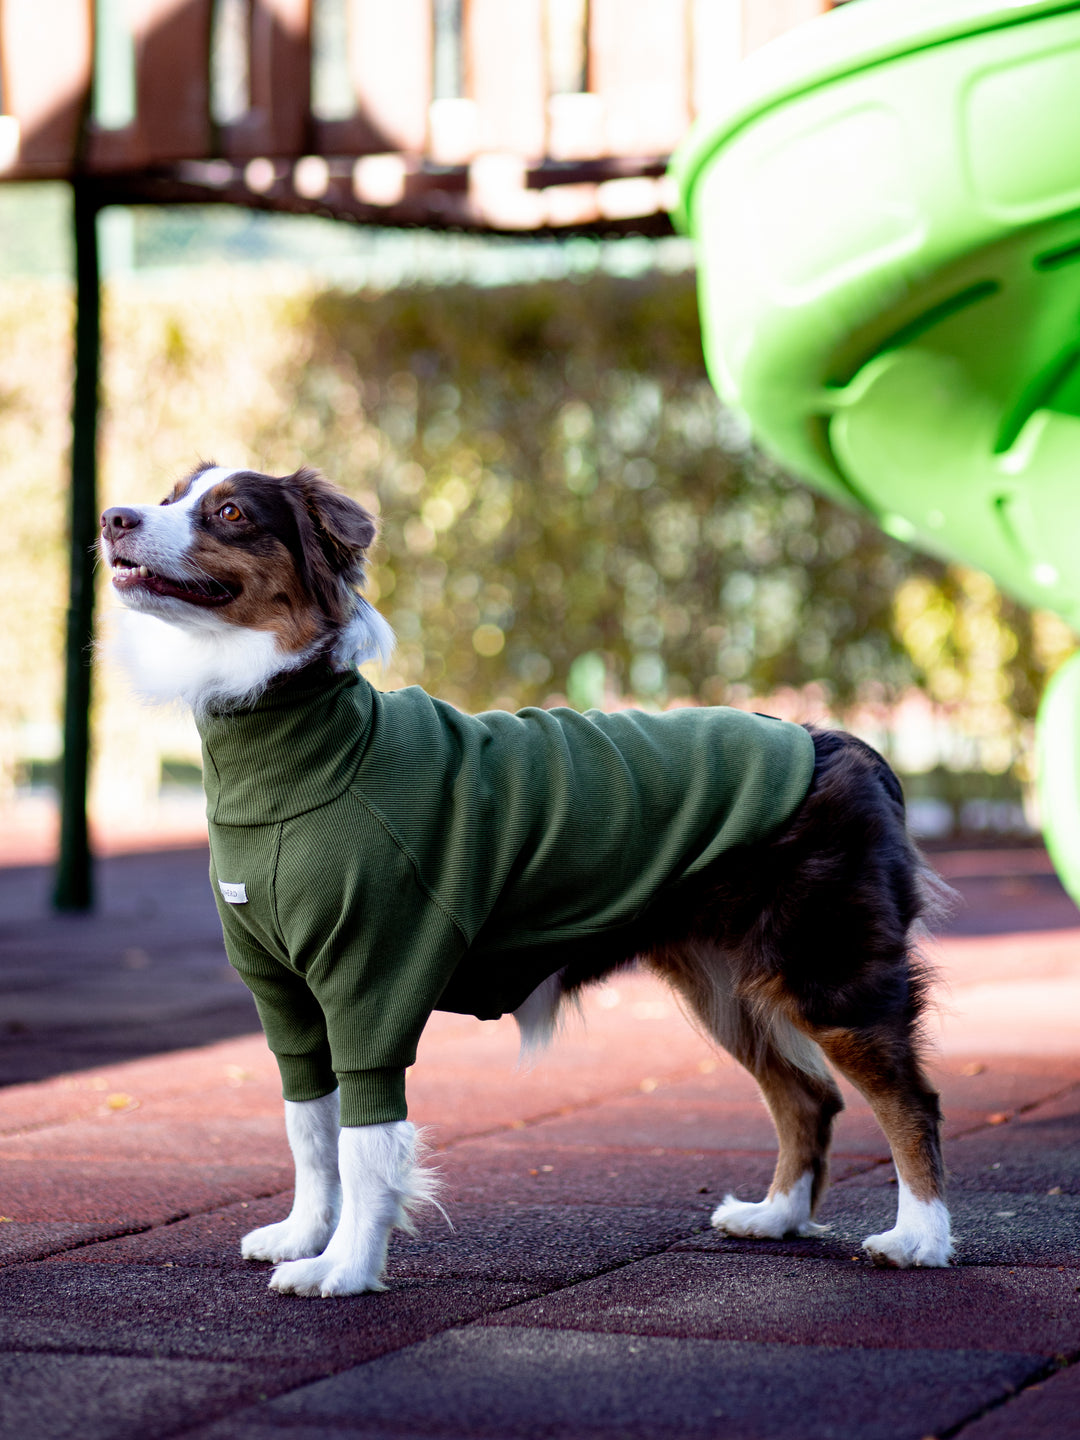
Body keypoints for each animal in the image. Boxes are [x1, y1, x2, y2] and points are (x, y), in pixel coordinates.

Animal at [101, 460, 956, 1296]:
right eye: (172, 494)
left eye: (232, 512)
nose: (114, 517)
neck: (290, 747)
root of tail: (848, 745)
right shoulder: (283, 995)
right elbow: (309, 1129)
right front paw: (304, 1235)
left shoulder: (370, 984)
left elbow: (365, 1146)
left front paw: (344, 1268)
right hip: (725, 985)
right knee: (808, 1096)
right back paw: (775, 1217)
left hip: (829, 973)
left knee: (909, 1099)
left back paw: (920, 1237)